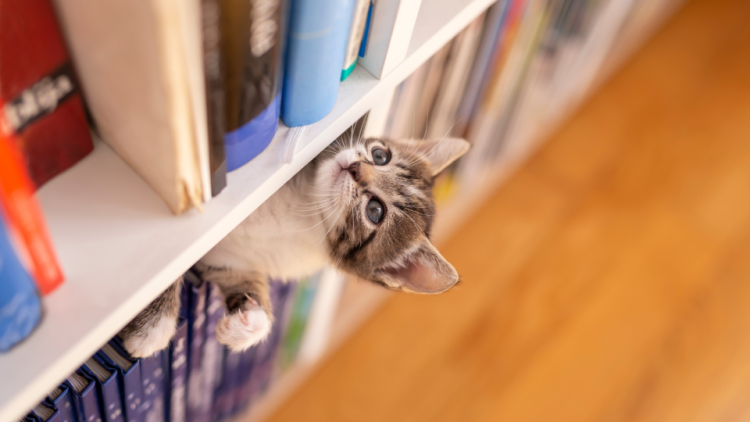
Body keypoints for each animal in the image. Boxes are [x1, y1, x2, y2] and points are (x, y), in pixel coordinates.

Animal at [120, 131, 470, 356]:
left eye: (375, 211)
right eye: (381, 155)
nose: (356, 168)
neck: (302, 211)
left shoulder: (234, 259)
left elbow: (243, 282)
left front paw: (249, 324)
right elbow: (169, 265)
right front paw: (154, 328)